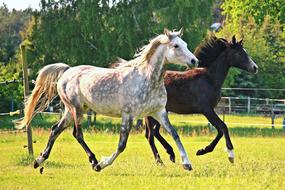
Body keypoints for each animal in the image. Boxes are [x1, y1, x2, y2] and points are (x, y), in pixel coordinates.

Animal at [144, 34, 258, 165]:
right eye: (239, 53)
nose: (255, 68)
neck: (209, 79)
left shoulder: (210, 110)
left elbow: (219, 130)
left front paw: (202, 150)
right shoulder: (207, 110)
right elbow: (223, 126)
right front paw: (230, 154)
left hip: (162, 111)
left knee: (155, 132)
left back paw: (171, 154)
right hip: (152, 113)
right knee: (150, 135)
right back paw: (160, 161)